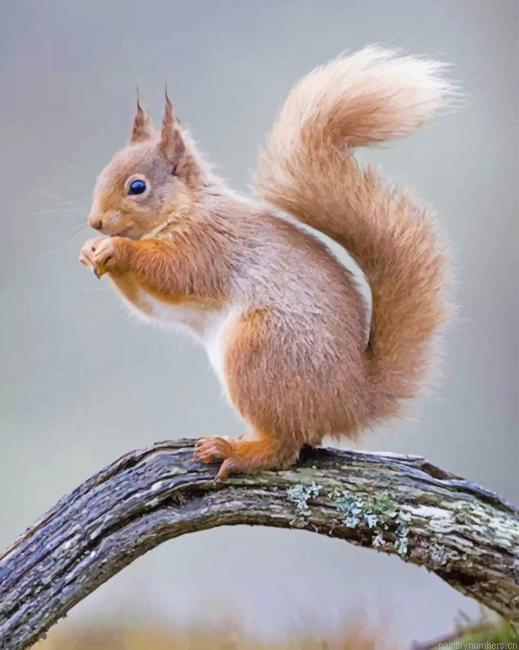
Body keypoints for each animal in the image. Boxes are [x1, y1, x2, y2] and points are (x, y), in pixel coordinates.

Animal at [80, 47, 452, 480]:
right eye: (102, 173)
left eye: (137, 187)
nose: (95, 222)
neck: (189, 208)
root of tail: (351, 399)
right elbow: (152, 304)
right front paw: (92, 250)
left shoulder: (208, 246)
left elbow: (173, 273)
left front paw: (117, 249)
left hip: (259, 349)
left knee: (286, 445)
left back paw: (237, 451)